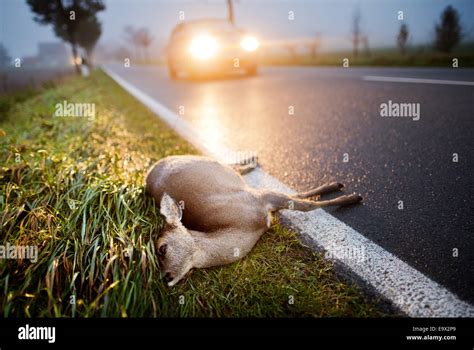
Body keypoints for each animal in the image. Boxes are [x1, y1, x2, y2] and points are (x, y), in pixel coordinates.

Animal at [146, 154, 362, 286]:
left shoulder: (258, 198)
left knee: (229, 164)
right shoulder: (262, 200)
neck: (246, 227)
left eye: (162, 248)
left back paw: (252, 160)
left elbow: (306, 205)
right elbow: (300, 199)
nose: (165, 278)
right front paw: (340, 190)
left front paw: (350, 197)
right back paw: (252, 162)